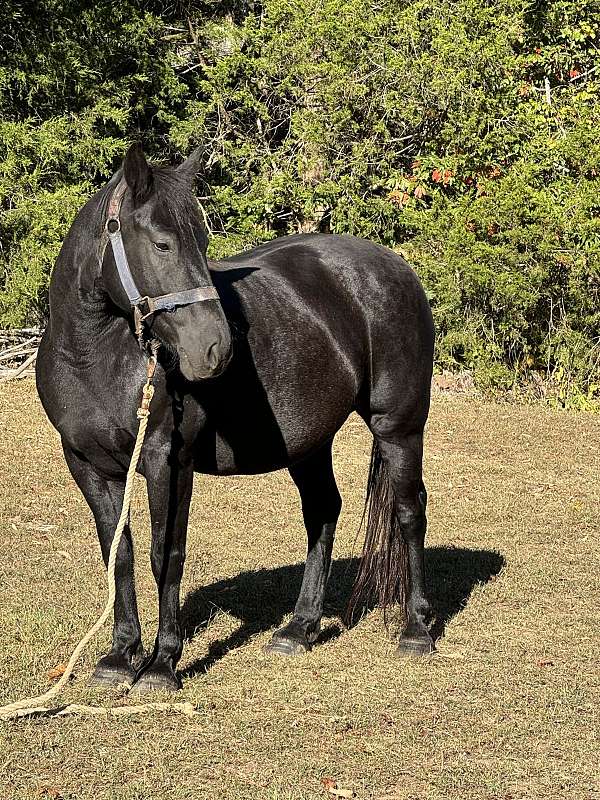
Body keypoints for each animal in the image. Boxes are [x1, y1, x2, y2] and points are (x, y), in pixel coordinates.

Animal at [35, 145, 434, 692]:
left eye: (202, 244)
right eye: (162, 244)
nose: (215, 348)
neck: (93, 359)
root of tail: (394, 267)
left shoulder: (167, 461)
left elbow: (166, 555)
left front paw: (161, 664)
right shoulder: (87, 465)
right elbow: (119, 554)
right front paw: (119, 656)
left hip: (399, 427)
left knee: (409, 511)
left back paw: (416, 629)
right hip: (309, 443)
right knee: (323, 512)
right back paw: (300, 628)